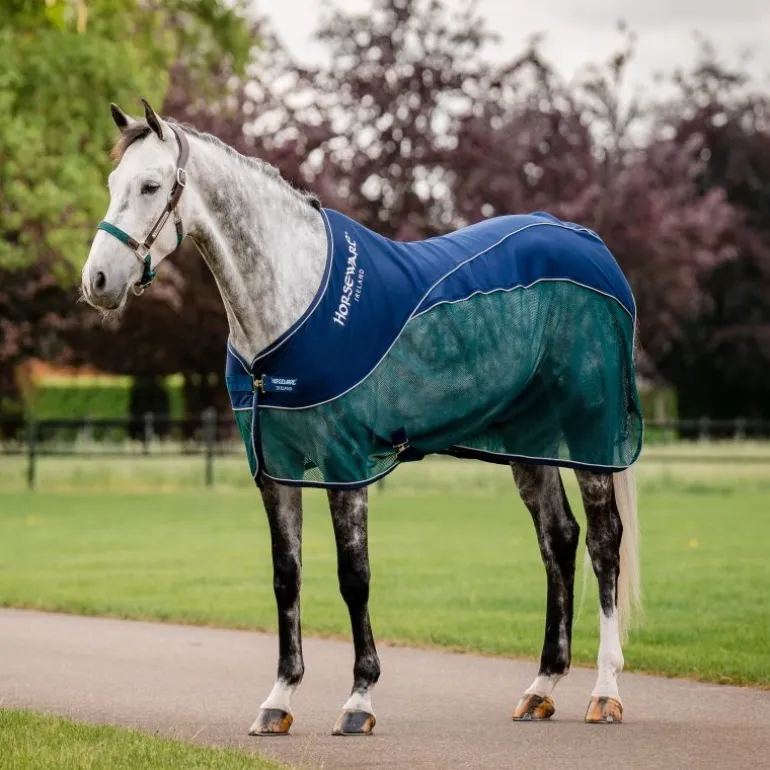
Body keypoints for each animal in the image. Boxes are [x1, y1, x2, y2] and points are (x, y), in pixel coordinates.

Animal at [81, 99, 642, 735]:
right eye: (113, 184)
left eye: (151, 186)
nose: (97, 282)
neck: (293, 301)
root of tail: (590, 245)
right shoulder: (275, 470)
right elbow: (286, 576)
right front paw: (279, 700)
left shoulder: (345, 462)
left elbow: (355, 576)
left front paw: (359, 700)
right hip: (529, 442)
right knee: (559, 539)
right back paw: (542, 686)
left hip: (591, 430)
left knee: (603, 541)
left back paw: (605, 691)